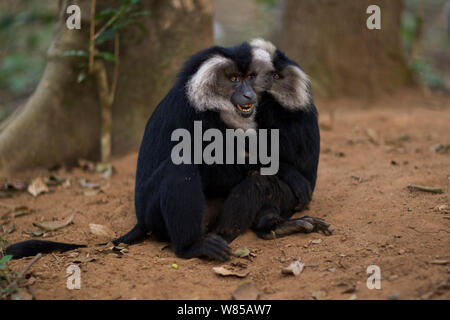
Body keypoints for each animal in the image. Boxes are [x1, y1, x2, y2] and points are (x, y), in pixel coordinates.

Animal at [5, 42, 276, 262]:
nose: (249, 94)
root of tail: (141, 221)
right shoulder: (201, 119)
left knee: (255, 182)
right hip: (154, 214)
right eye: (234, 79)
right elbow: (219, 171)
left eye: (250, 77)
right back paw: (190, 247)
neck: (211, 103)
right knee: (181, 167)